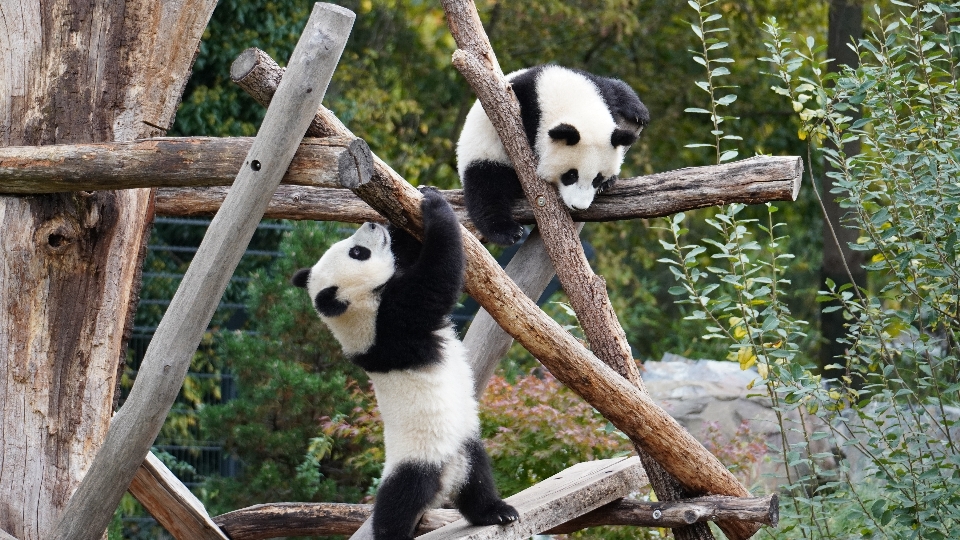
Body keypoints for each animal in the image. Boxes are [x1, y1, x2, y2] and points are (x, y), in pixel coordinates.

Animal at [290, 187, 516, 540]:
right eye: (357, 253)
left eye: (350, 247)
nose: (371, 224)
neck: (354, 308)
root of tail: (444, 479)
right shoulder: (391, 322)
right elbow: (437, 278)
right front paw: (436, 208)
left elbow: (410, 255)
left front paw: (419, 198)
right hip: (415, 459)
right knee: (398, 500)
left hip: (463, 444)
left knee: (477, 480)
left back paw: (496, 512)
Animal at [454, 63, 648, 247]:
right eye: (571, 175)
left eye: (597, 179)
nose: (578, 206)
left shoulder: (594, 87)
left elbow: (615, 89)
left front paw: (638, 111)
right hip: (482, 153)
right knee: (486, 188)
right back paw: (507, 231)